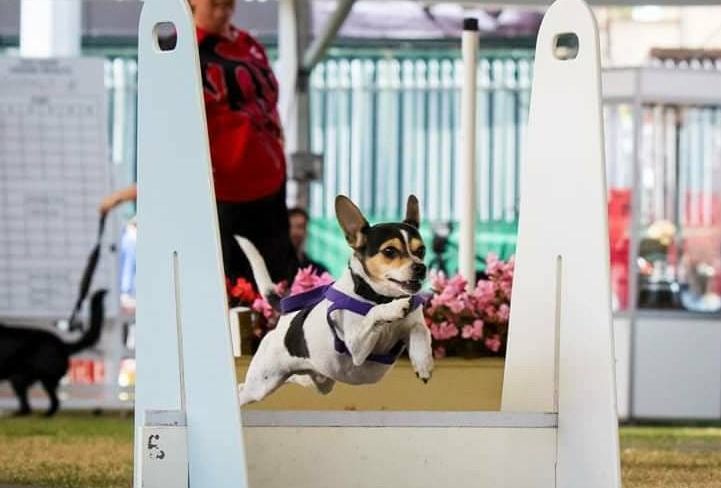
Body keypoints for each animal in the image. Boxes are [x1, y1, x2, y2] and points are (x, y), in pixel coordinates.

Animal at [235, 193, 434, 404]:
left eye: (421, 250)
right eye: (389, 251)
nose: (421, 267)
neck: (378, 296)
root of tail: (285, 317)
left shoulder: (413, 324)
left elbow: (420, 330)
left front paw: (422, 361)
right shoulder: (356, 347)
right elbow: (373, 314)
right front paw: (392, 310)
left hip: (319, 381)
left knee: (298, 379)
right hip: (260, 385)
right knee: (243, 389)